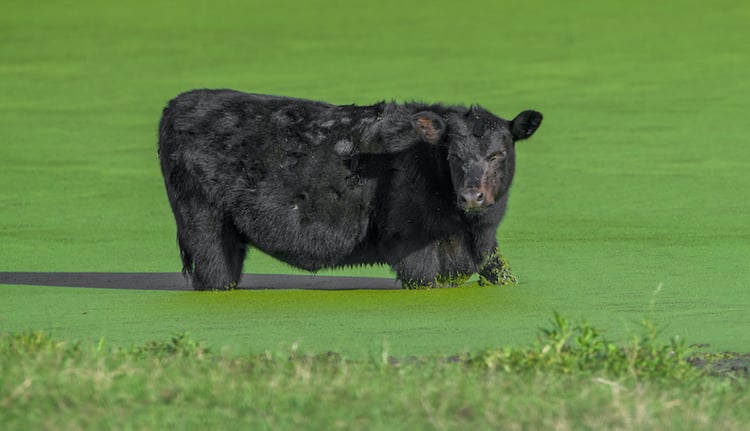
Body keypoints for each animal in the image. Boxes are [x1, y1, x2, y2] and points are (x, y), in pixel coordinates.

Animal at [159, 90, 544, 290]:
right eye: (453, 154)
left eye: (498, 154)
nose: (471, 196)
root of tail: (178, 102)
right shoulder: (411, 248)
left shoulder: (483, 249)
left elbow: (504, 275)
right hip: (205, 230)